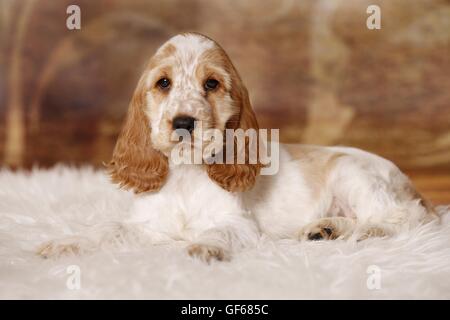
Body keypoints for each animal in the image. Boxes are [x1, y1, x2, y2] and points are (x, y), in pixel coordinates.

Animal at [37, 32, 436, 262]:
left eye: (212, 84)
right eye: (163, 83)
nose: (183, 123)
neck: (187, 174)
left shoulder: (239, 224)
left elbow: (219, 231)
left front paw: (203, 248)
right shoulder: (149, 223)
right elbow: (108, 228)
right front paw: (63, 244)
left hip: (354, 173)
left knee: (405, 218)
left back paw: (364, 232)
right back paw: (325, 229)